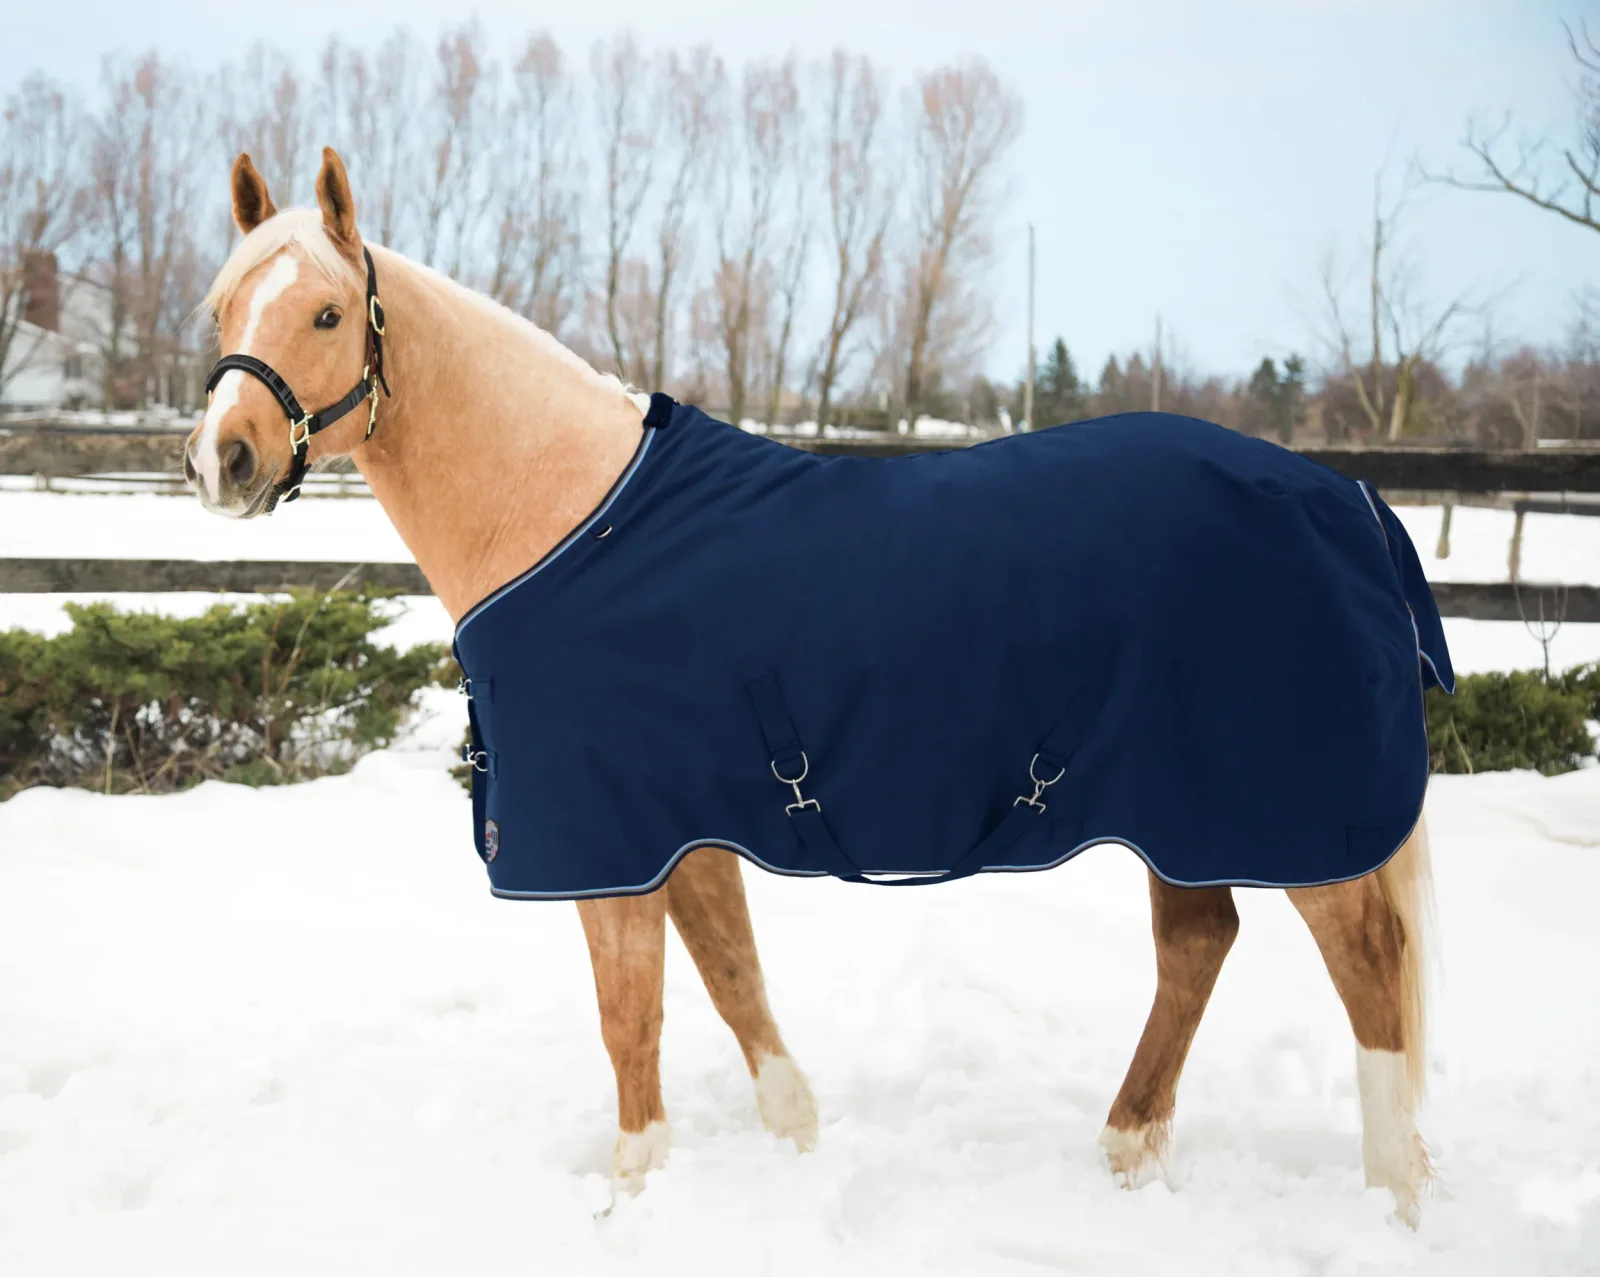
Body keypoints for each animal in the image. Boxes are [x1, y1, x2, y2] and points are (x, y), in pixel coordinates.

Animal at [185, 146, 1436, 1222]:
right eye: (220, 309)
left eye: (328, 313)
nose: (221, 459)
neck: (571, 517)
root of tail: (1347, 501)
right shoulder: (678, 821)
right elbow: (731, 974)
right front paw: (793, 1136)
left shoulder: (607, 840)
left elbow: (629, 1013)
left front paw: (630, 1192)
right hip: (1182, 809)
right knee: (1198, 941)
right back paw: (1127, 1149)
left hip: (1287, 814)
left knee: (1368, 963)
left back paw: (1392, 1196)